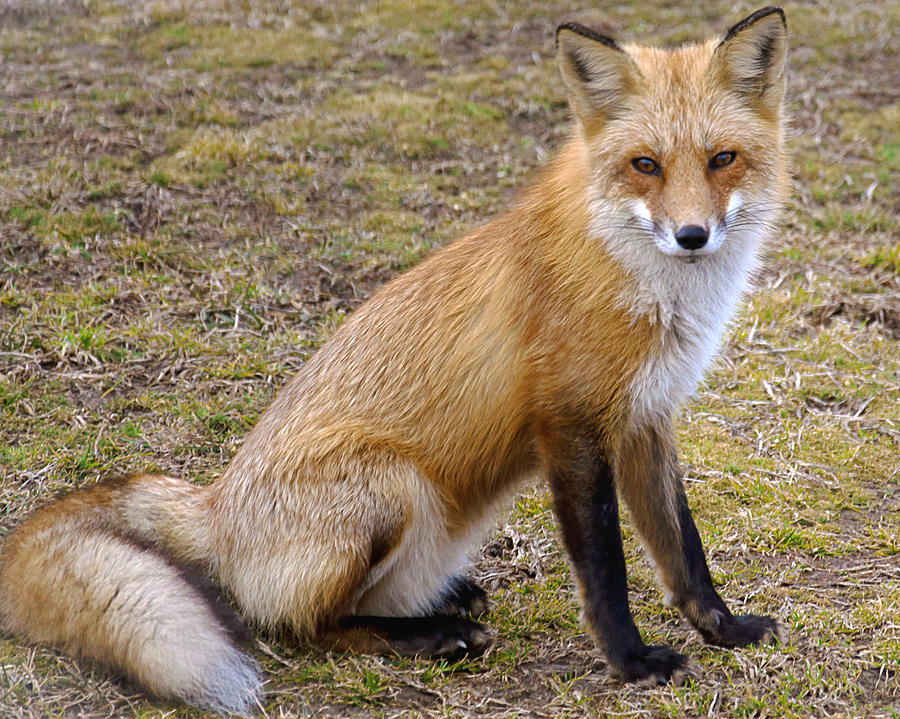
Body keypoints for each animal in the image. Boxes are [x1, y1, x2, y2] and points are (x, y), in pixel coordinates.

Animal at [0, 5, 788, 716]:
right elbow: (607, 569)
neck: (651, 292)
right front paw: (630, 661)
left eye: (722, 159)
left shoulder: (646, 417)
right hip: (392, 487)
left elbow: (683, 549)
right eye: (644, 166)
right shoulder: (570, 425)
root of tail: (216, 506)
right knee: (297, 626)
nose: (692, 235)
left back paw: (446, 598)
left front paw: (723, 629)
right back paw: (431, 635)